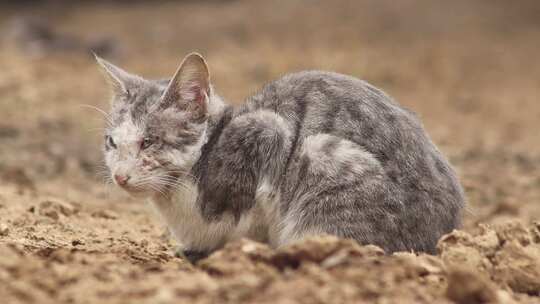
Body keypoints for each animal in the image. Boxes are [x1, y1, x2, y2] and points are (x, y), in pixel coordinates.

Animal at [96, 51, 464, 262]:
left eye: (149, 142)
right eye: (111, 142)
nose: (119, 176)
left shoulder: (267, 130)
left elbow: (233, 212)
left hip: (322, 155)